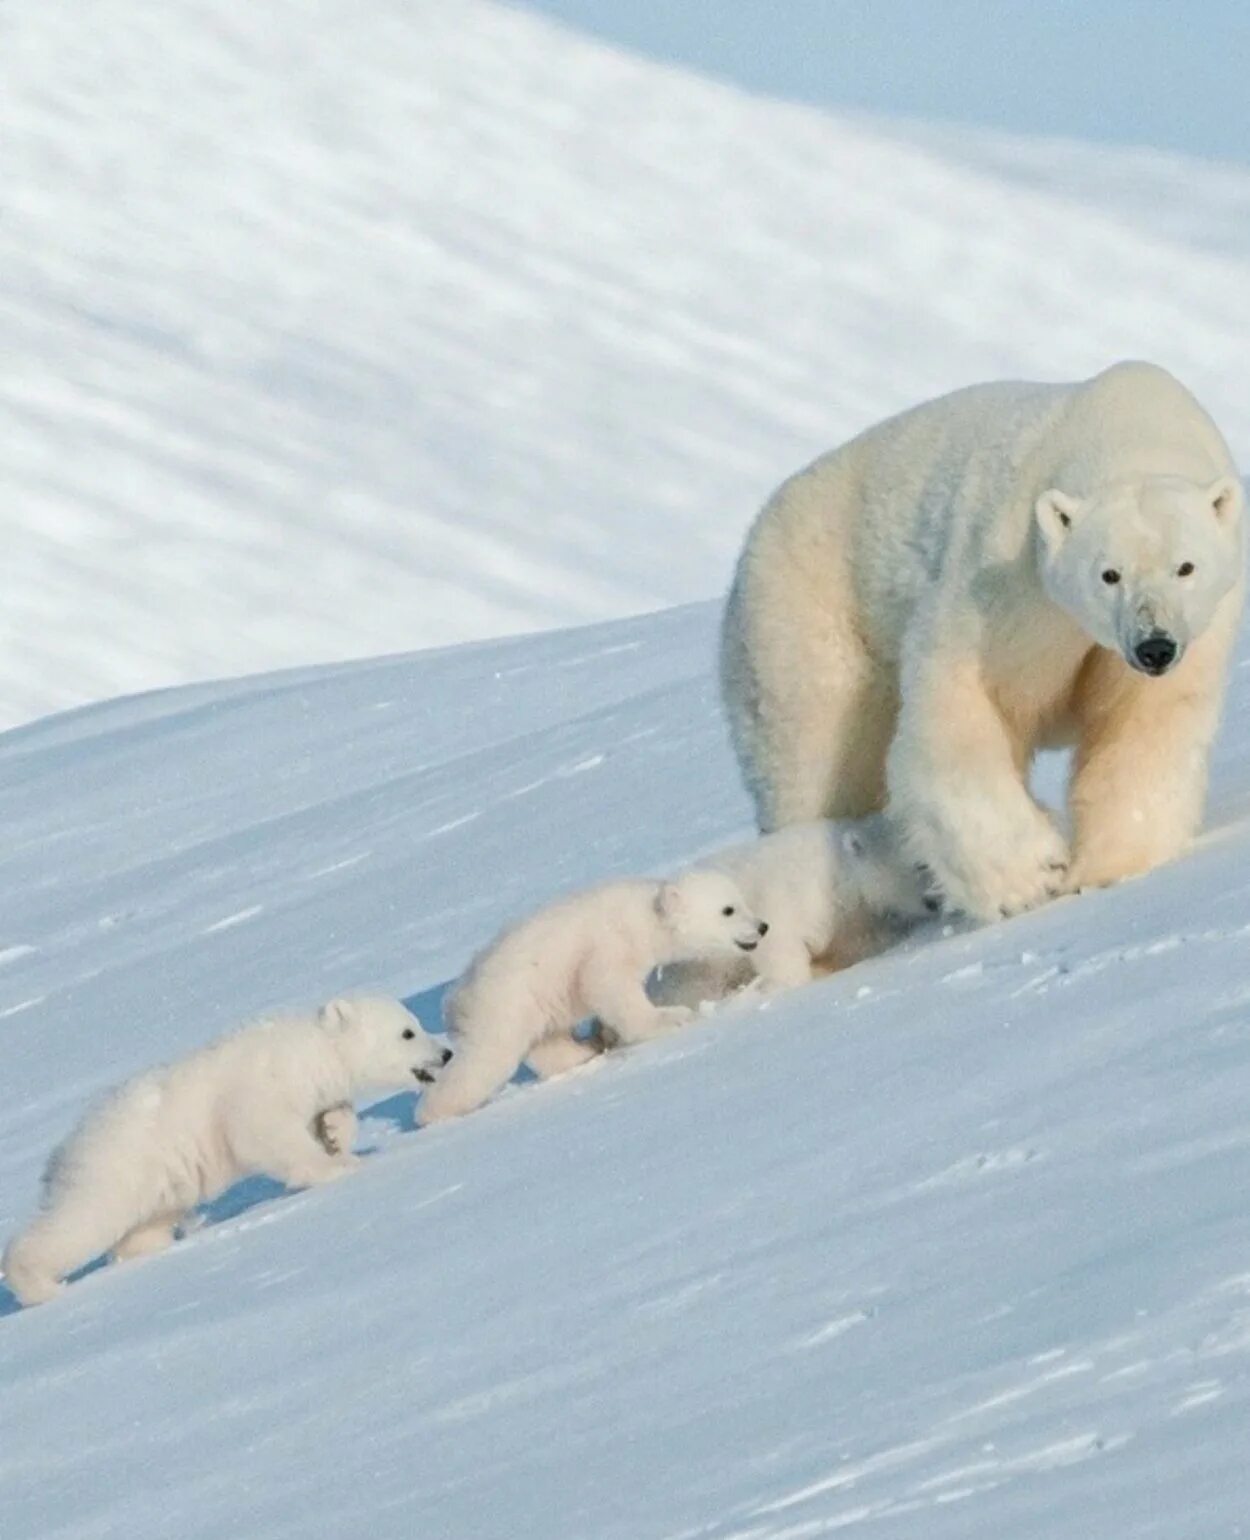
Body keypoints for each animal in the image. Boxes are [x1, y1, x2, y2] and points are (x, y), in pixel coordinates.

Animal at [0, 991, 449, 1305]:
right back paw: (38, 1285)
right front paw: (336, 1167)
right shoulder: (259, 1086)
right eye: (408, 1031)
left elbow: (328, 1114)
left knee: (143, 1226)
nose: (446, 1052)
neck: (308, 1050)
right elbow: (263, 1133)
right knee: (80, 1220)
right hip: (118, 1168)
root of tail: (65, 1147)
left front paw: (336, 1134)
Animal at [418, 868, 766, 1121]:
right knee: (485, 1061)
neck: (645, 914)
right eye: (728, 910)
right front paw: (671, 1017)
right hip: (505, 1004)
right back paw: (431, 1113)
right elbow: (606, 985)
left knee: (546, 1041)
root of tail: (456, 997)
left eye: (740, 899)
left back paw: (586, 1050)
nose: (763, 926)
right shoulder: (608, 943)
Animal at [717, 360, 1243, 911]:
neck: (1127, 424)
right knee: (816, 765)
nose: (1153, 646)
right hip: (804, 617)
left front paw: (1108, 869)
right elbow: (963, 703)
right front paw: (1032, 874)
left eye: (1186, 566)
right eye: (1109, 574)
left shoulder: (1196, 631)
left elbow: (1144, 727)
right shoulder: (1008, 580)